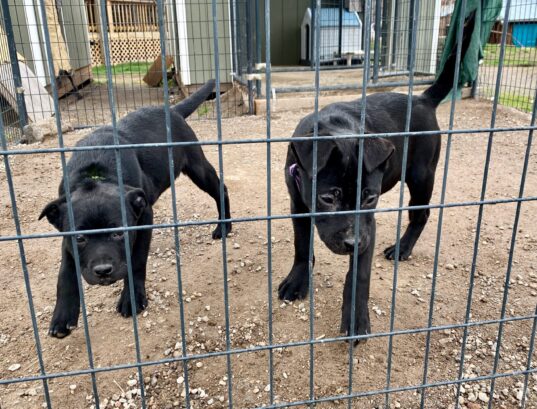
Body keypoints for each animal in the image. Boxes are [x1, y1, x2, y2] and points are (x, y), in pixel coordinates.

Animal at [40, 80, 231, 338]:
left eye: (119, 233)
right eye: (80, 238)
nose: (103, 270)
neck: (95, 174)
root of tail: (171, 110)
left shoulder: (144, 218)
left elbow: (137, 260)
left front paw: (132, 299)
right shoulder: (66, 233)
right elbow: (65, 272)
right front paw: (62, 316)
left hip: (197, 166)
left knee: (221, 189)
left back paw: (224, 226)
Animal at [278, 14, 476, 341]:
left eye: (369, 197)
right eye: (328, 197)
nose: (353, 242)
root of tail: (422, 100)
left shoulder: (368, 226)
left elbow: (359, 275)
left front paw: (356, 319)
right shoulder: (299, 206)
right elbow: (301, 245)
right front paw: (297, 281)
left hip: (422, 175)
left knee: (421, 214)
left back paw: (402, 248)